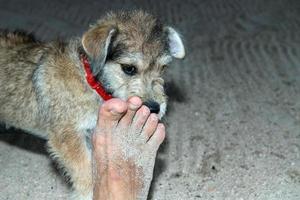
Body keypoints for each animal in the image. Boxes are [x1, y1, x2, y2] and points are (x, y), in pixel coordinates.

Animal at [0, 10, 185, 198]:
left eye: (163, 68)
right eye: (129, 68)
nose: (155, 108)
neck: (90, 81)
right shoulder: (68, 137)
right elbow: (85, 171)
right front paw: (89, 194)